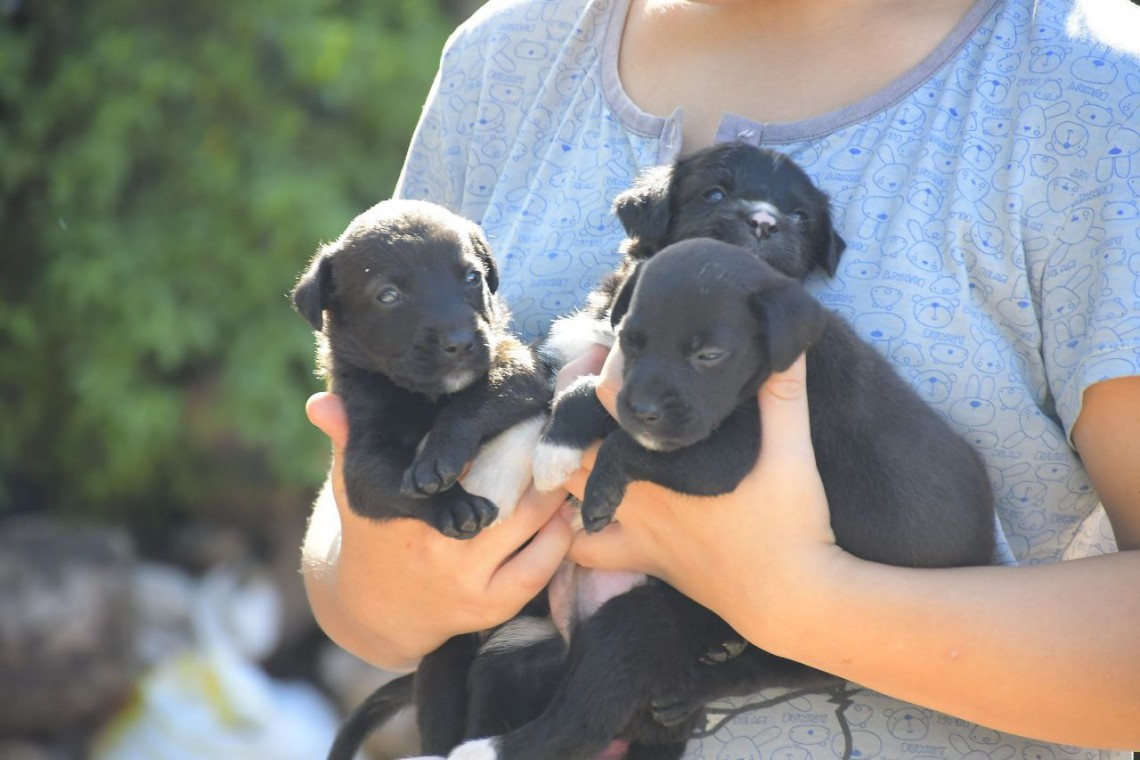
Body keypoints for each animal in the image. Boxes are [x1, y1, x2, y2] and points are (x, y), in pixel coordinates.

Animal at [446, 239, 996, 760]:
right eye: (632, 341)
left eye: (709, 356)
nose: (643, 407)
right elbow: (580, 391)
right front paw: (545, 450)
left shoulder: (726, 455)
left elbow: (621, 434)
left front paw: (585, 481)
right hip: (514, 645)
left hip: (657, 623)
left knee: (585, 719)